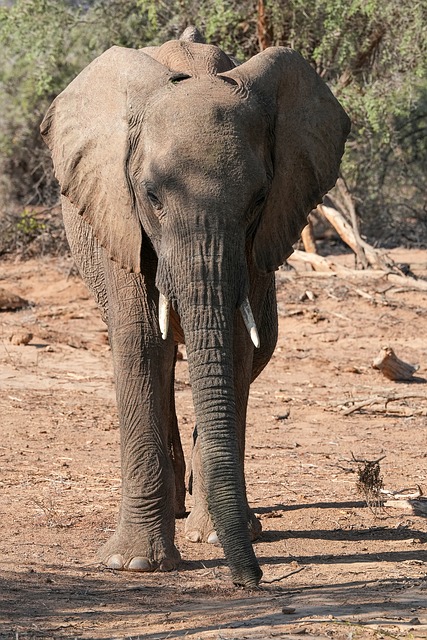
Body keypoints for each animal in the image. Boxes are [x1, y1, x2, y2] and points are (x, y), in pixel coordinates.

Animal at [41, 27, 350, 588]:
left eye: (258, 200)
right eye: (151, 196)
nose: (251, 580)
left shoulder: (258, 240)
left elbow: (235, 345)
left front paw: (216, 536)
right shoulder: (121, 218)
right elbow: (141, 343)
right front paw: (136, 564)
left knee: (258, 349)